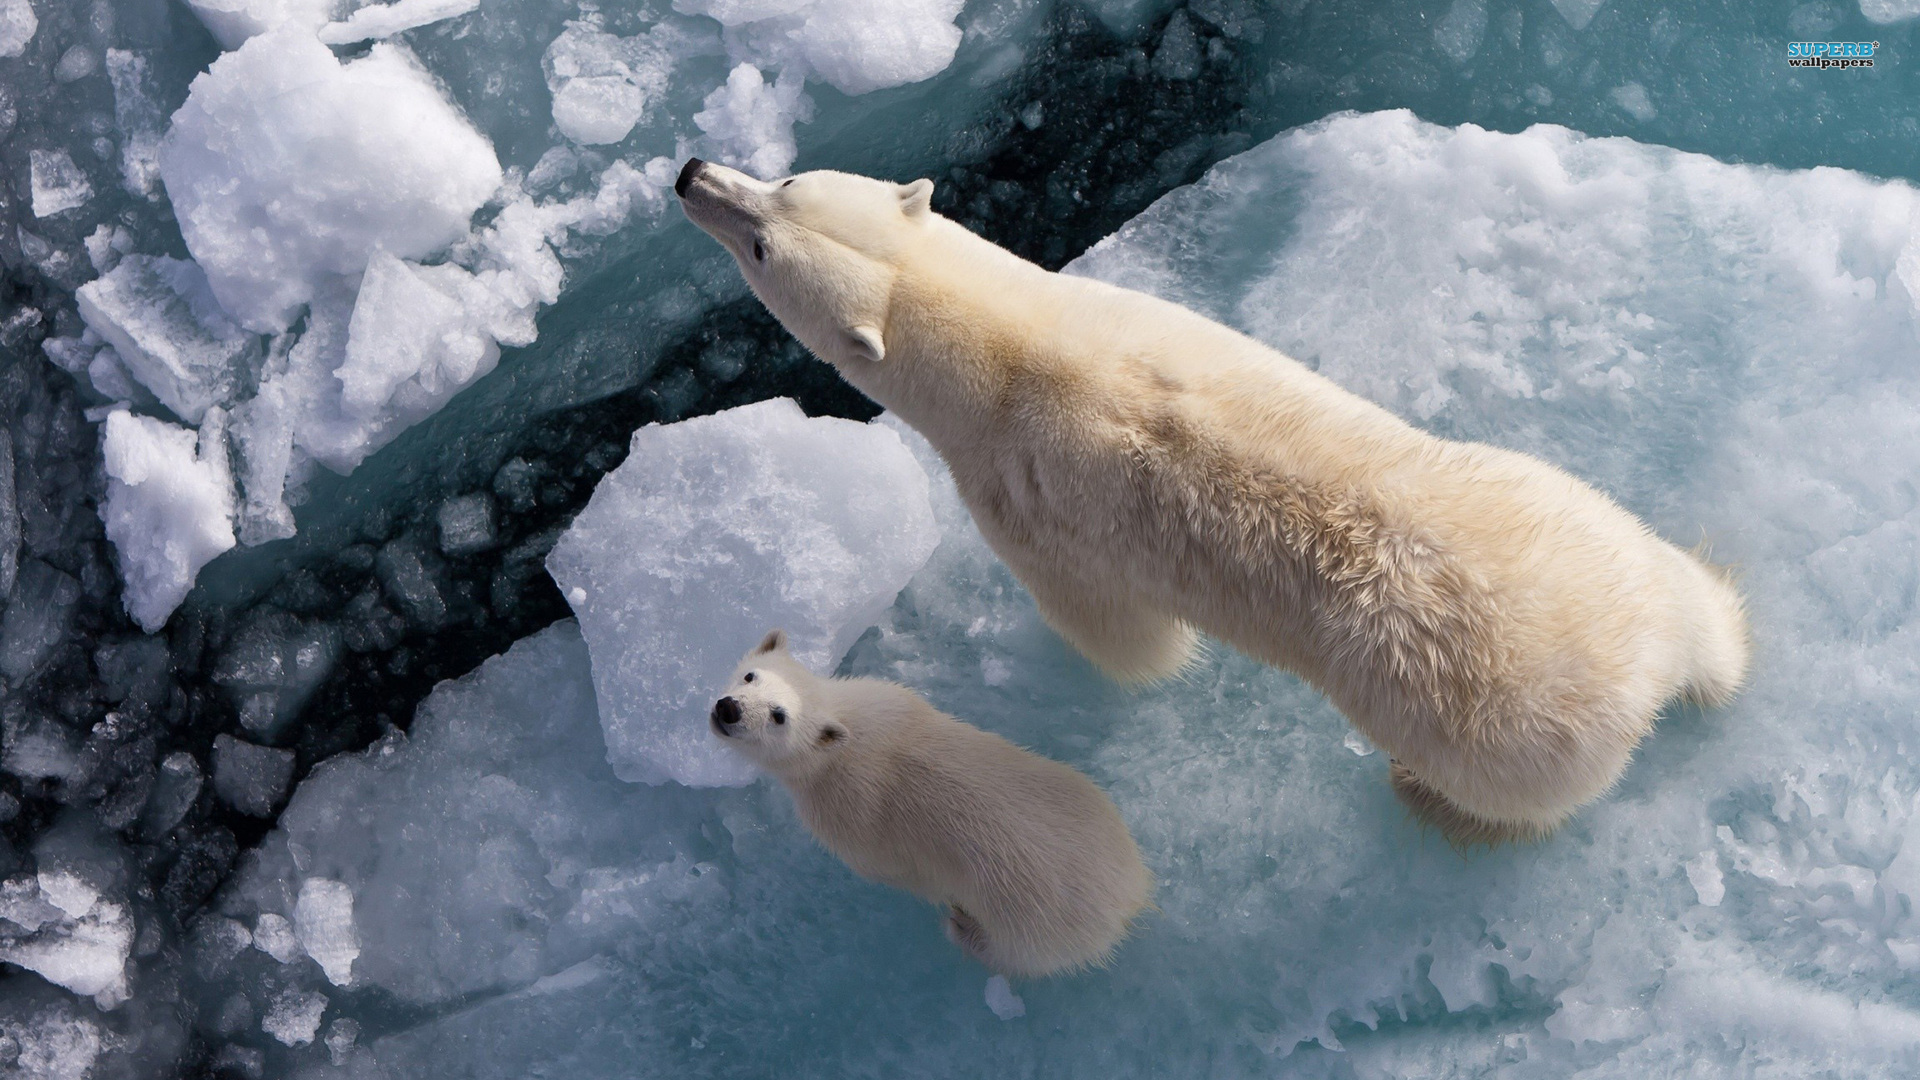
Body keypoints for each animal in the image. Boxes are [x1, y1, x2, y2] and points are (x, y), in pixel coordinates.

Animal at [679, 155, 1758, 841]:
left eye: (766, 238)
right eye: (785, 185)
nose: (691, 173)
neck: (1012, 348)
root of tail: (1642, 664)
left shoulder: (1021, 499)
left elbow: (1118, 634)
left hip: (1491, 725)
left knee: (1509, 795)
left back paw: (1425, 798)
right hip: (1570, 512)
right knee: (1687, 590)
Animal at [710, 622, 1144, 976]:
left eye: (778, 715)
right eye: (750, 675)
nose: (728, 708)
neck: (850, 736)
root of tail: (1128, 897)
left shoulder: (848, 820)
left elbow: (889, 870)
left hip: (1031, 926)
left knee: (1011, 954)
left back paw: (962, 927)